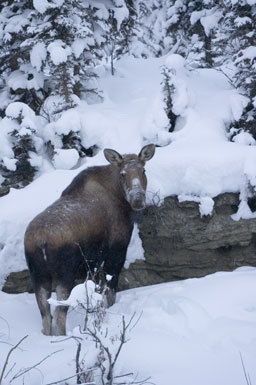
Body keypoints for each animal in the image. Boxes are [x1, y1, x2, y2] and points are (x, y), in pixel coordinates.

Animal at [25, 143, 155, 332]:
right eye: (123, 173)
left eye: (143, 170)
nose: (138, 200)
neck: (119, 196)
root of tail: (40, 242)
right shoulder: (116, 251)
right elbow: (110, 293)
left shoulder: (94, 263)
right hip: (64, 274)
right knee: (59, 315)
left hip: (38, 276)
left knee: (46, 316)